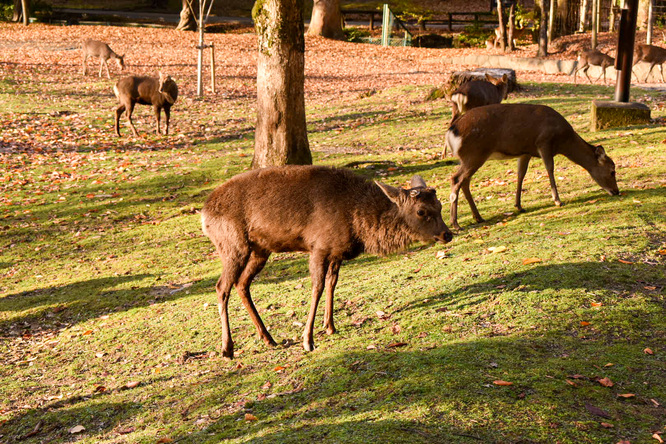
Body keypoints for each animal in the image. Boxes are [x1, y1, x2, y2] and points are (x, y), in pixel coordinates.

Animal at [200, 166, 454, 358]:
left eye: (440, 205)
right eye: (421, 211)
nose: (447, 234)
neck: (357, 223)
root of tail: (203, 213)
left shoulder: (336, 252)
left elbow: (332, 284)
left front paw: (330, 326)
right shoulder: (319, 247)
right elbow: (317, 287)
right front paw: (308, 340)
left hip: (261, 250)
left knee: (242, 284)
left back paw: (269, 338)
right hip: (232, 245)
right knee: (222, 287)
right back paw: (227, 349)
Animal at [444, 103, 620, 231]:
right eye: (612, 171)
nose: (616, 191)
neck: (563, 141)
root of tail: (451, 132)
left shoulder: (525, 152)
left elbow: (521, 175)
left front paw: (519, 206)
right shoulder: (544, 142)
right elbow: (550, 169)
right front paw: (557, 200)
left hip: (469, 158)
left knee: (464, 182)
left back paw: (478, 217)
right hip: (474, 154)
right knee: (456, 179)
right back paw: (456, 224)